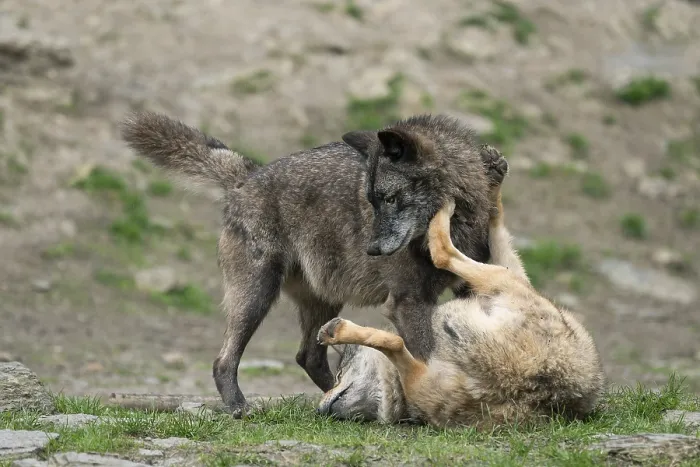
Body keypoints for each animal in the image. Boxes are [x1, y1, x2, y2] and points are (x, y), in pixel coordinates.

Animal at [120, 111, 508, 415]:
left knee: (307, 357)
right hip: (257, 297)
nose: (372, 250)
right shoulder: (408, 302)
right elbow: (426, 356)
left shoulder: (468, 286)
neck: (455, 221)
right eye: (372, 200)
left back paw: (337, 396)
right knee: (224, 360)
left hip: (323, 301)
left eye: (390, 198)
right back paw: (240, 407)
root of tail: (248, 176)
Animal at [316, 180, 605, 429]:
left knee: (444, 255)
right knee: (444, 256)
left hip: (498, 280)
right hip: (500, 283)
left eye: (339, 375)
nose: (319, 410)